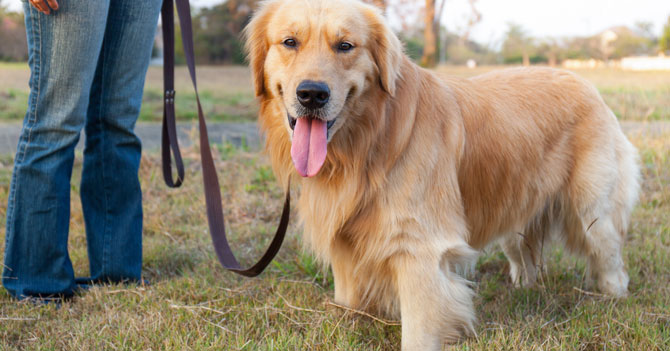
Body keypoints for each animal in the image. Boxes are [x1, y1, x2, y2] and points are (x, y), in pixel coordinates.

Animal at [244, 0, 644, 348]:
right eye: (289, 42)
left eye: (345, 46)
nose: (312, 94)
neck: (367, 143)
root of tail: (585, 83)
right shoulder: (346, 238)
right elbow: (349, 297)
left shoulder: (419, 248)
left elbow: (420, 328)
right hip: (515, 208)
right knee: (524, 254)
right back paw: (525, 288)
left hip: (593, 212)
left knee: (610, 258)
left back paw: (614, 297)